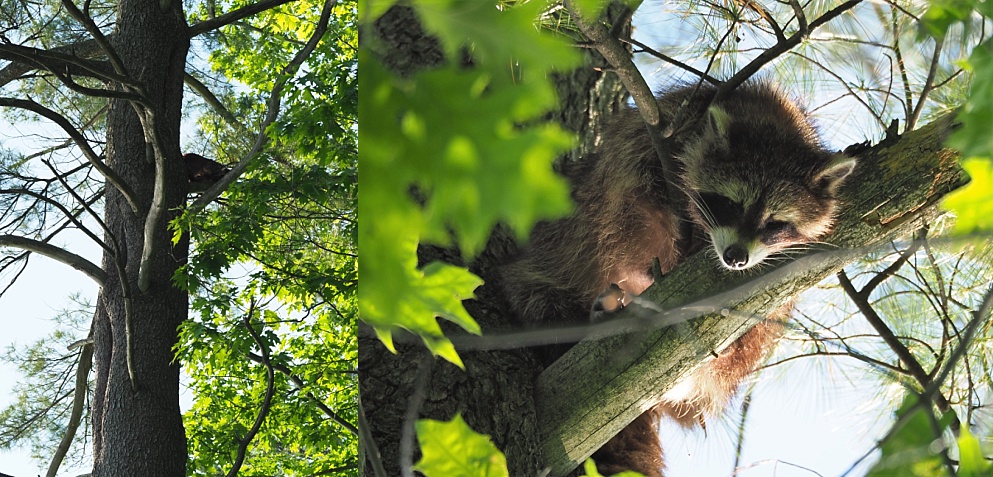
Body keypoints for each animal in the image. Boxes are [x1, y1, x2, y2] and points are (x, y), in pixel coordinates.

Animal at [494, 82, 852, 476]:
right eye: (732, 204)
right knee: (548, 275)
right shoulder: (652, 138)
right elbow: (632, 197)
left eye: (775, 223)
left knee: (743, 346)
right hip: (556, 249)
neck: (775, 120)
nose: (736, 257)